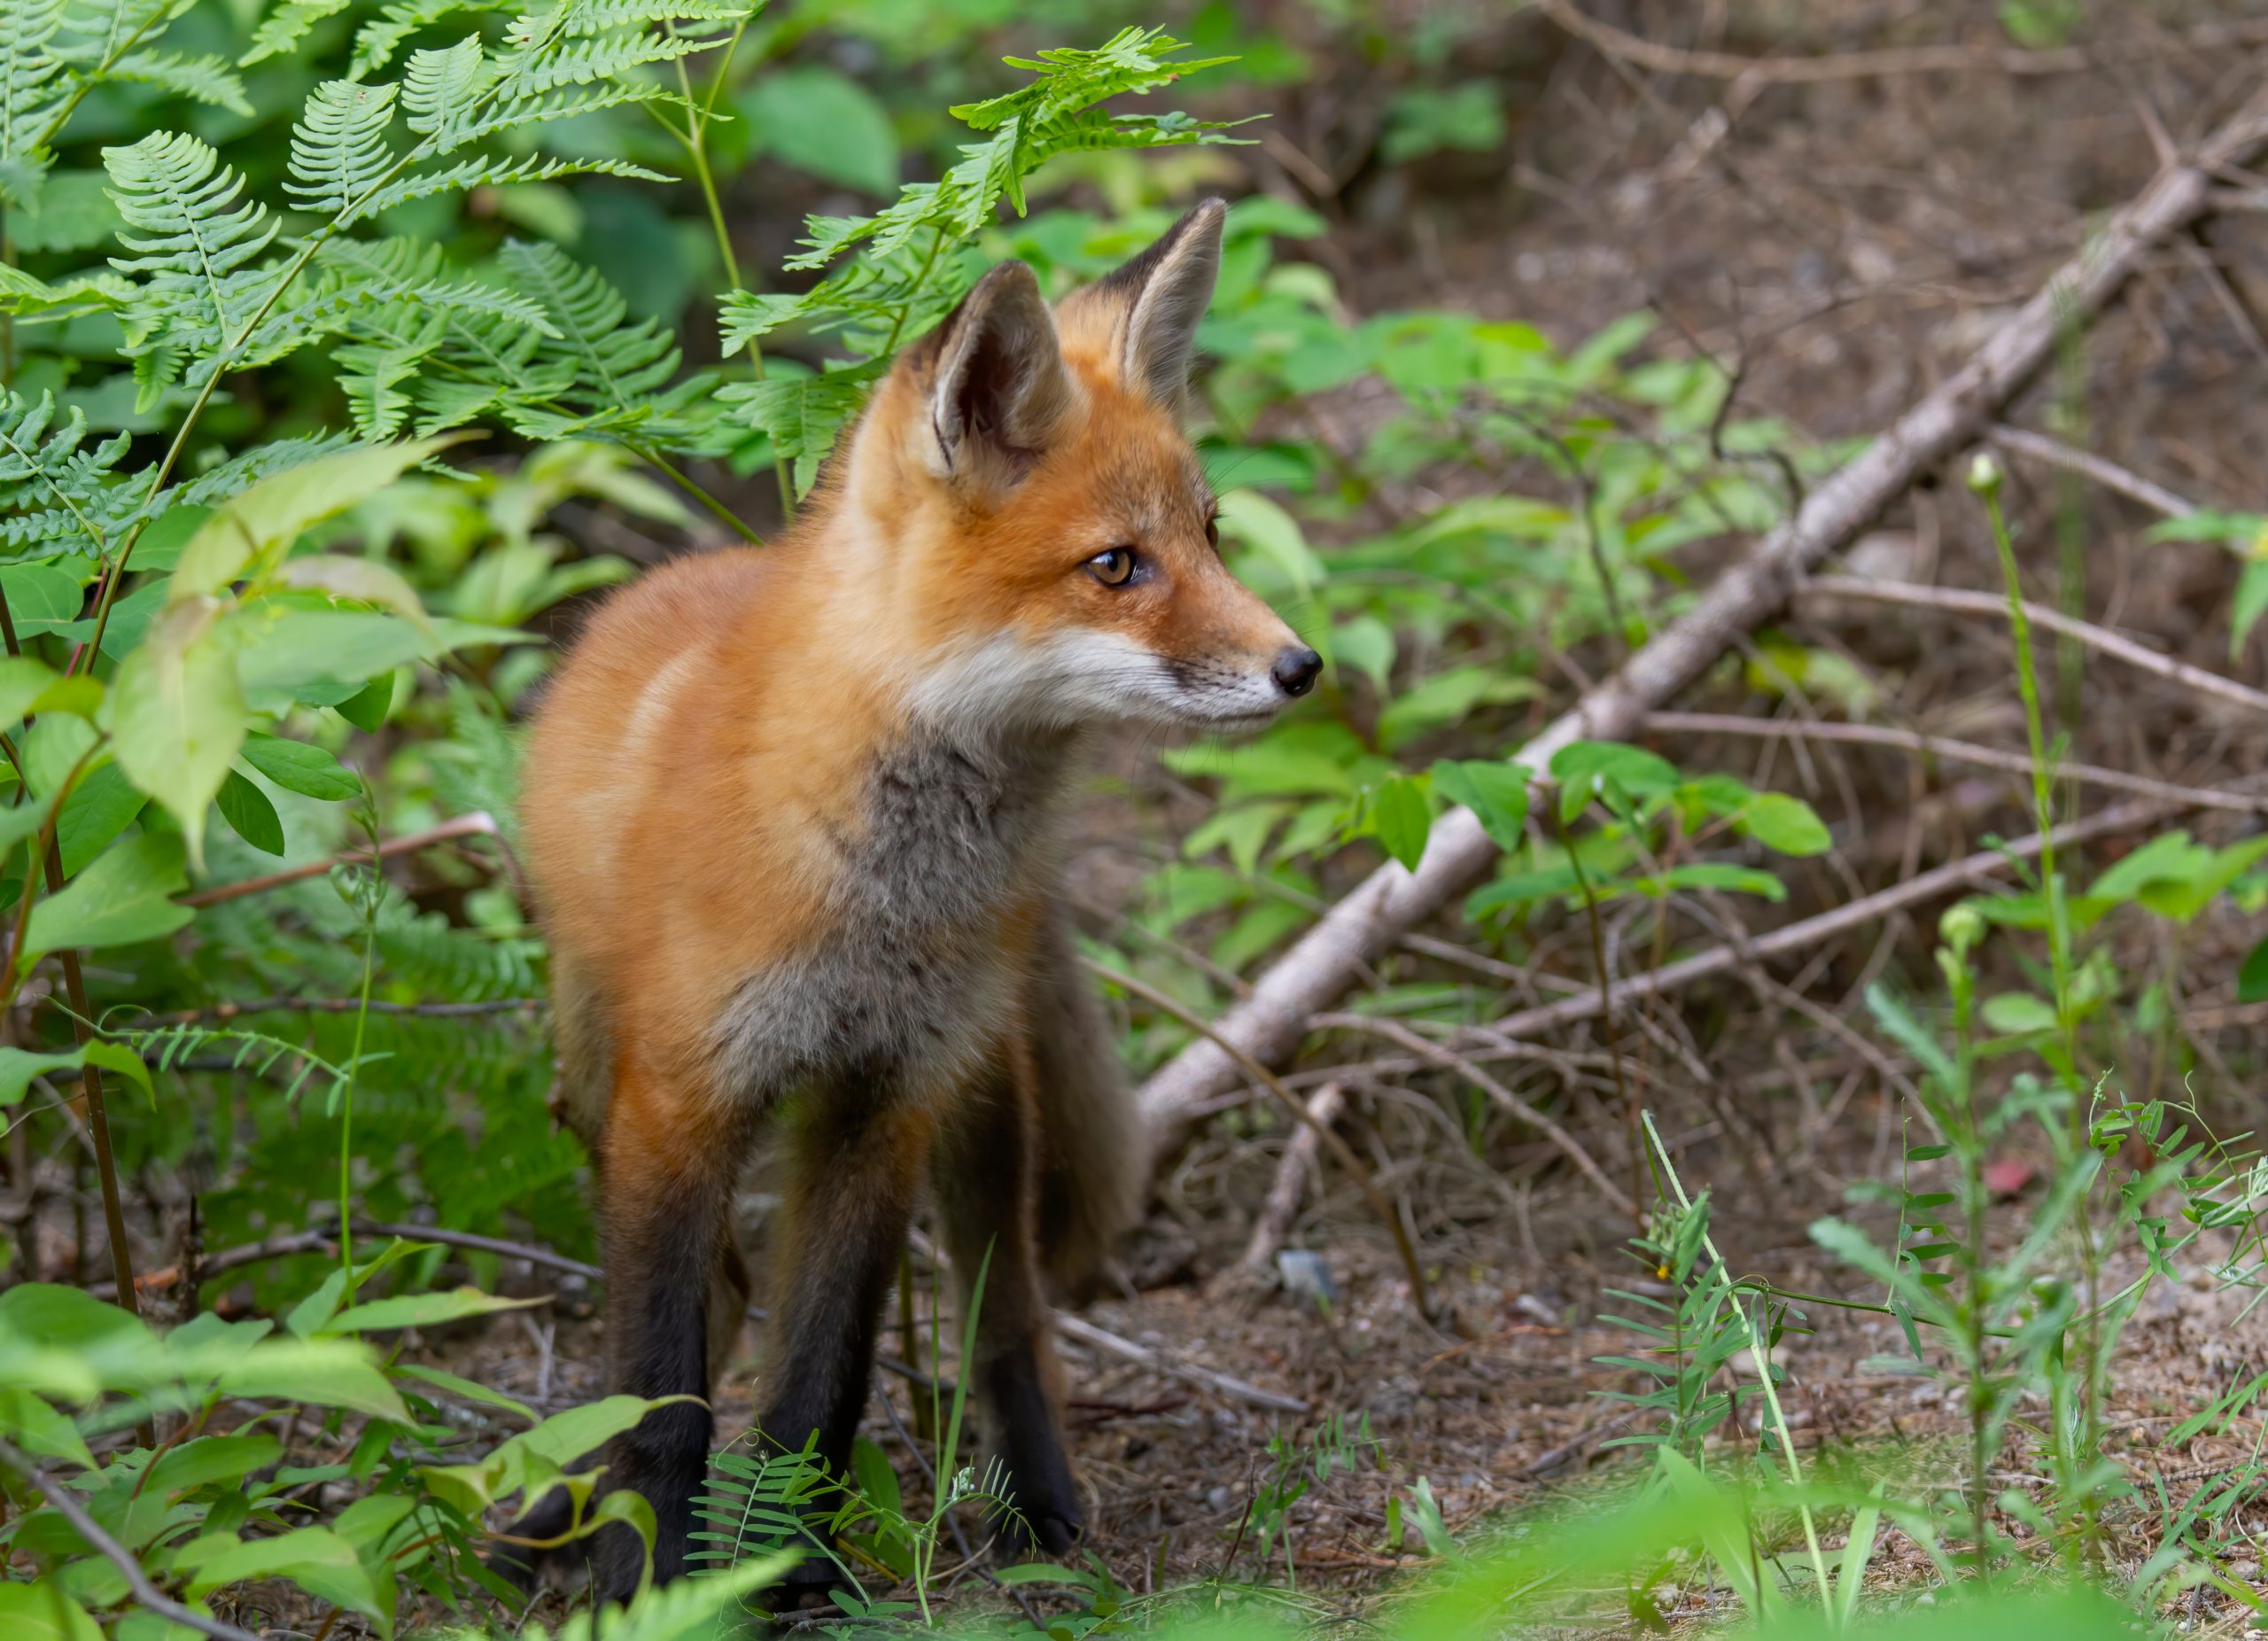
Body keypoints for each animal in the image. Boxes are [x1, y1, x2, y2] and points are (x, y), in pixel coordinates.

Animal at [501, 198, 1319, 1604]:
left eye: (1210, 536)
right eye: (1117, 565)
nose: (1301, 665)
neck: (877, 897)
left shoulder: (885, 1096)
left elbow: (819, 1387)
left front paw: (787, 1573)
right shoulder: (681, 1095)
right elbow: (660, 1394)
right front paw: (642, 1584)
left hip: (982, 1101)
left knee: (1010, 1322)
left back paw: (1041, 1504)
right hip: (593, 1069)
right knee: (716, 1300)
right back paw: (564, 1506)